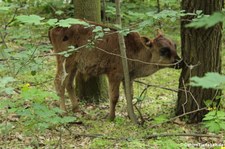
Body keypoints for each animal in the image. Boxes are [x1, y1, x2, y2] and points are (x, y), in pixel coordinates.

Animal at [48, 21, 182, 120]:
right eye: (163, 50)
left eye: (175, 45)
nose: (180, 62)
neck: (137, 50)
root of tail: (53, 28)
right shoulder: (114, 75)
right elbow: (114, 96)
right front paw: (111, 117)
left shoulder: (128, 77)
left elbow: (129, 95)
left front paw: (131, 116)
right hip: (64, 60)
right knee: (58, 82)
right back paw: (63, 112)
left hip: (74, 65)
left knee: (69, 83)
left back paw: (77, 109)